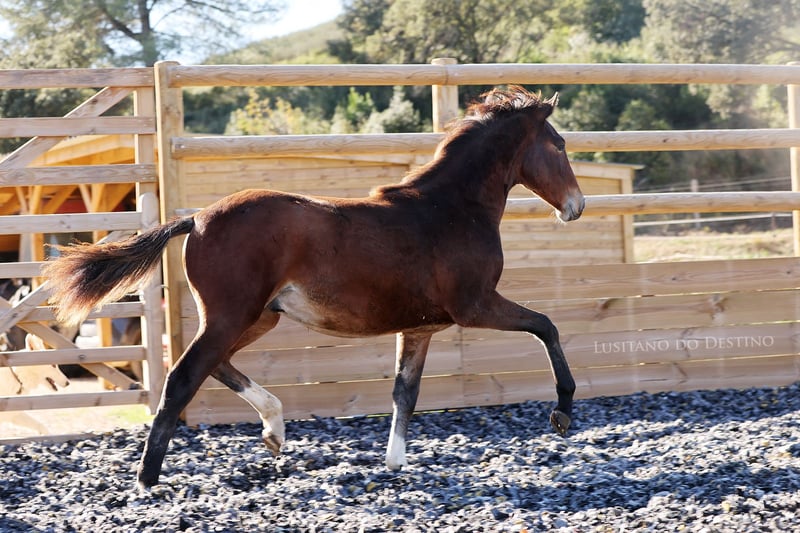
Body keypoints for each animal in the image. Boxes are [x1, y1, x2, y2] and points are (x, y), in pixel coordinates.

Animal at [42, 85, 585, 489]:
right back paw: (147, 480)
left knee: (214, 366)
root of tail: (195, 219)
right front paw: (561, 413)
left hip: (257, 317)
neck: (451, 208)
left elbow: (404, 392)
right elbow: (547, 326)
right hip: (233, 315)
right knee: (183, 377)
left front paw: (395, 463)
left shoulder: (419, 328)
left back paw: (274, 430)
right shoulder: (475, 305)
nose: (575, 206)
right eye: (558, 145)